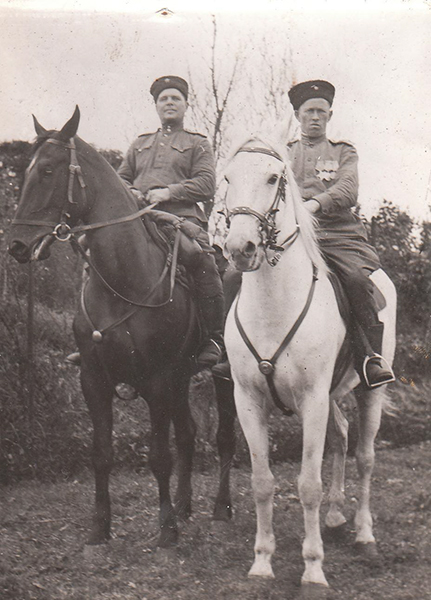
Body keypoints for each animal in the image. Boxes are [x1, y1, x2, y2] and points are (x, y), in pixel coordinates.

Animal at [8, 108, 236, 548]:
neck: (122, 278)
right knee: (188, 434)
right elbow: (102, 454)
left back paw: (220, 508)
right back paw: (184, 506)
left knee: (223, 439)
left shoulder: (158, 380)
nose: (17, 246)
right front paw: (100, 527)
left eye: (47, 170)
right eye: (25, 171)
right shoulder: (94, 379)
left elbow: (159, 456)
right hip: (183, 378)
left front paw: (165, 530)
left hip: (224, 377)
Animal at [224, 137, 396, 596]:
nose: (240, 248)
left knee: (365, 456)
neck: (273, 305)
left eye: (273, 178)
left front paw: (313, 570)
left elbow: (308, 485)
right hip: (333, 396)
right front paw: (262, 562)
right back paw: (336, 517)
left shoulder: (313, 401)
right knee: (340, 436)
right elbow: (262, 482)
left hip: (370, 390)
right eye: (227, 177)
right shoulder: (248, 402)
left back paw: (364, 535)